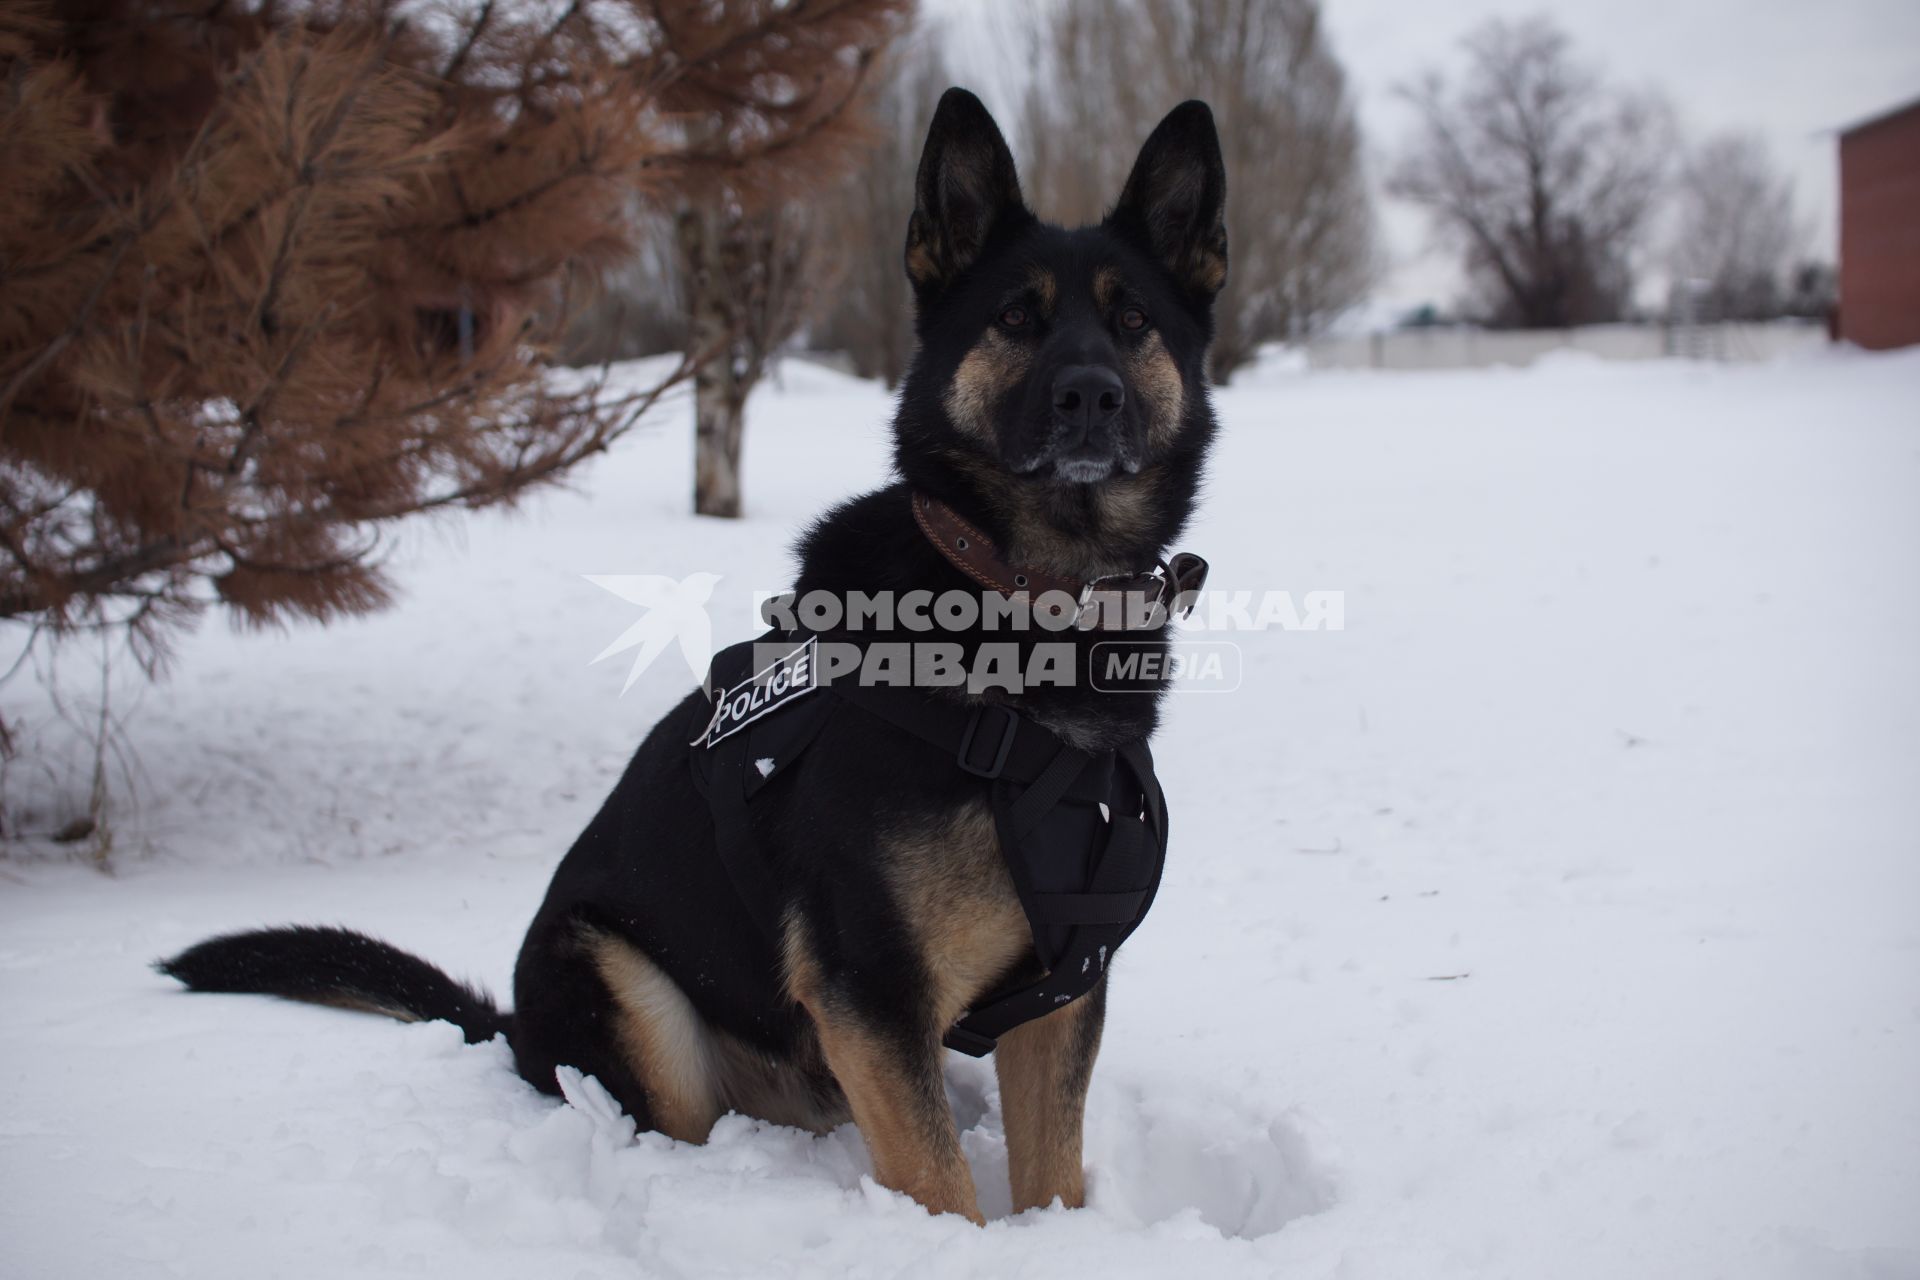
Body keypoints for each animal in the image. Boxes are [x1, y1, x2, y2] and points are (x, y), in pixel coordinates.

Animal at [157, 87, 1221, 1220]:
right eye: (1016, 317)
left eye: (1134, 320)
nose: (1091, 396)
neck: (1025, 611)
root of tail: (515, 1029)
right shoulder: (873, 990)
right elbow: (941, 1187)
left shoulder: (1060, 989)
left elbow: (1052, 1174)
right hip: (630, 986)